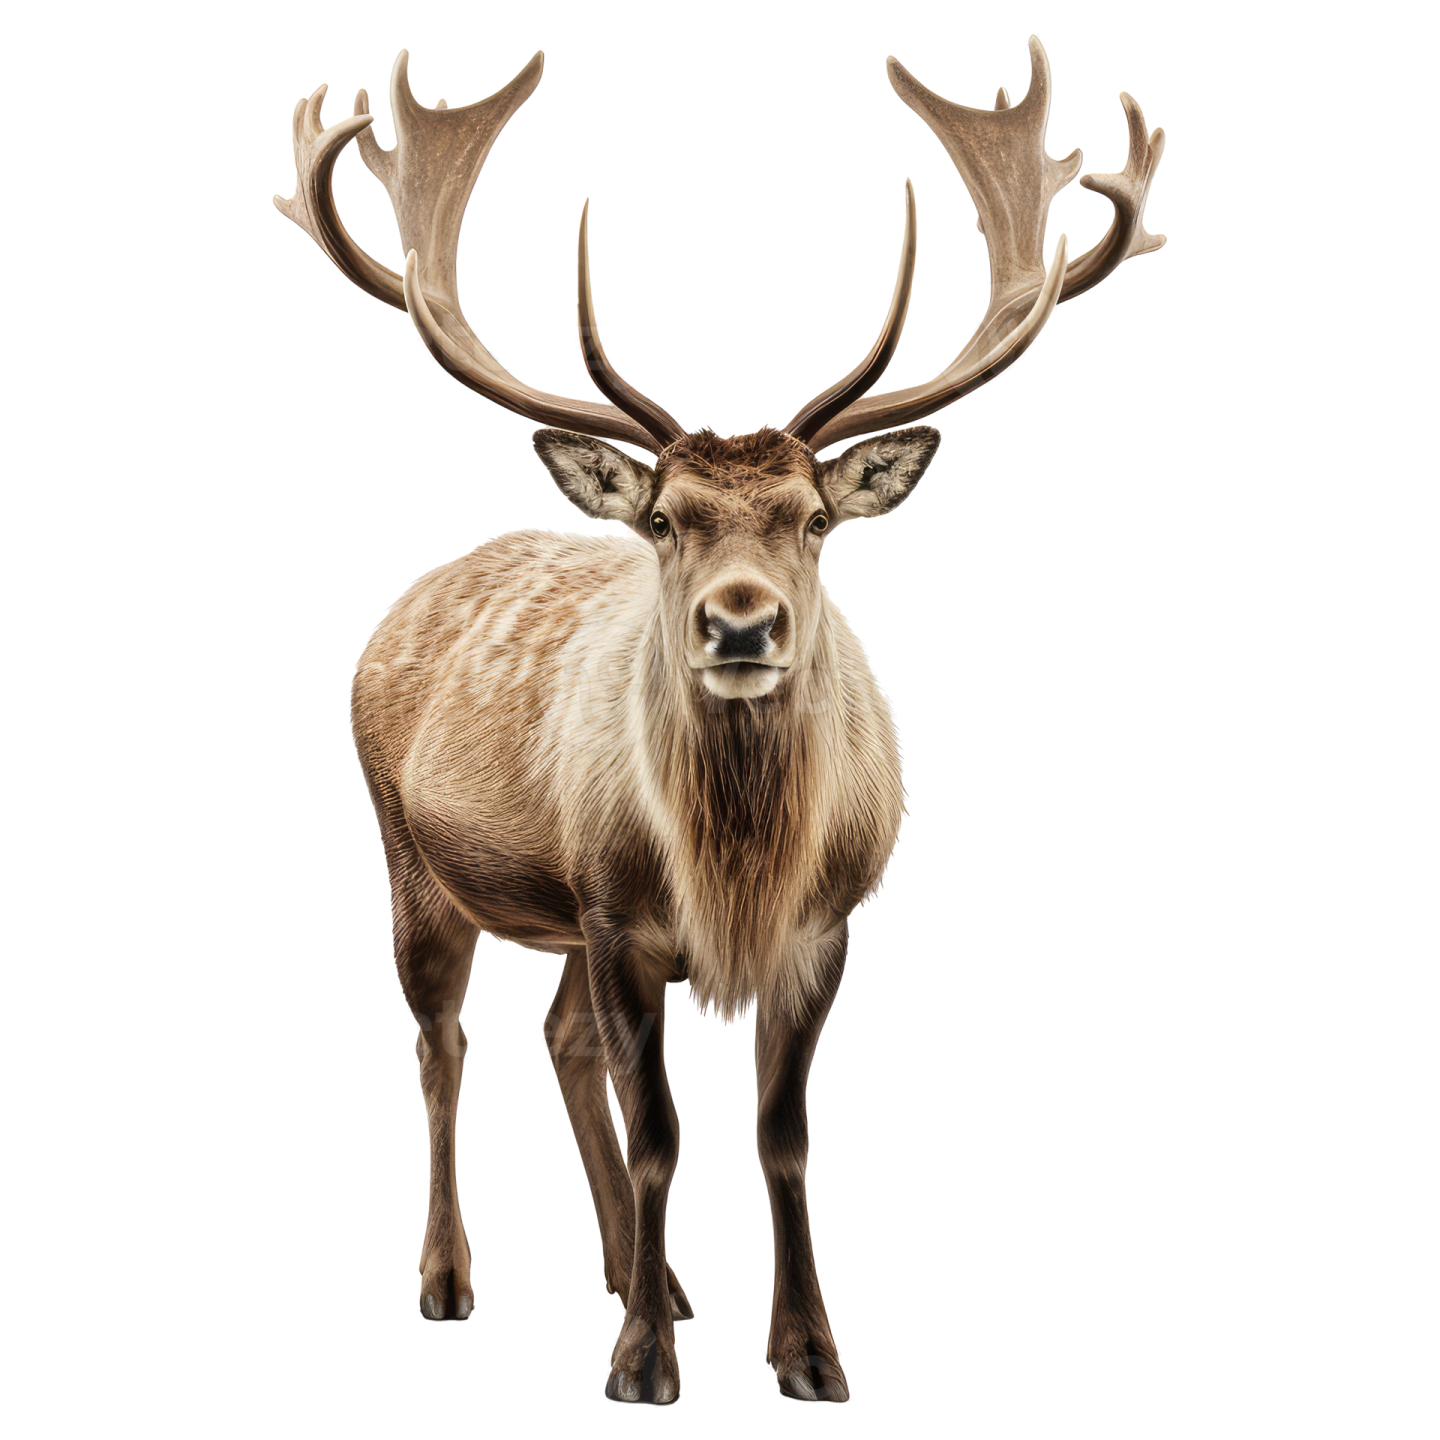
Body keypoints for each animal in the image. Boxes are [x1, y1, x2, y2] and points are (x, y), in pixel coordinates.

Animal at [274, 37, 1166, 1406]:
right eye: (665, 518)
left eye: (813, 519)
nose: (741, 624)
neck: (735, 867)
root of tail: (409, 601)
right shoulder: (616, 912)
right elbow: (662, 1133)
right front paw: (642, 1363)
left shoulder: (827, 921)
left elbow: (780, 1132)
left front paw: (807, 1351)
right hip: (410, 845)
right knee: (438, 1043)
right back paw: (453, 1278)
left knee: (558, 1038)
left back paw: (646, 1278)